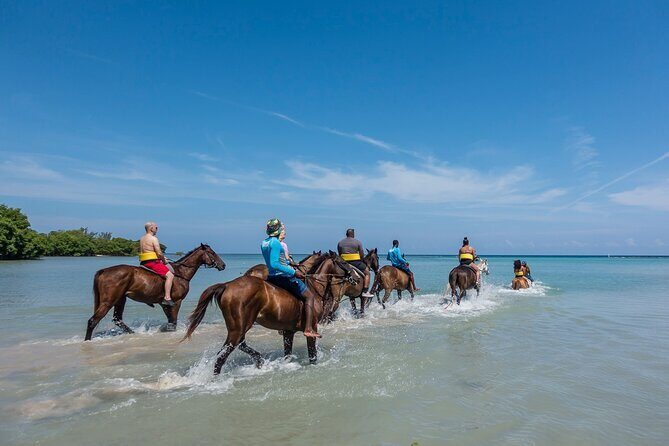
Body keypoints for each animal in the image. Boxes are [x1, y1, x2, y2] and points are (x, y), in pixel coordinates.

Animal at [85, 244, 225, 341]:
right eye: (212, 253)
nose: (223, 265)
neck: (180, 273)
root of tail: (104, 271)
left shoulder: (164, 304)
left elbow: (170, 321)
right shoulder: (176, 301)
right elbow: (173, 323)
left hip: (120, 299)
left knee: (118, 320)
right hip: (109, 301)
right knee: (93, 321)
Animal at [183, 252, 356, 374]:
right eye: (342, 262)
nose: (355, 277)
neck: (314, 287)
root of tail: (226, 285)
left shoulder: (288, 331)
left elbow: (287, 354)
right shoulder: (312, 328)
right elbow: (312, 356)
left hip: (239, 327)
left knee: (240, 344)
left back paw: (259, 360)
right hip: (238, 328)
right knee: (222, 355)